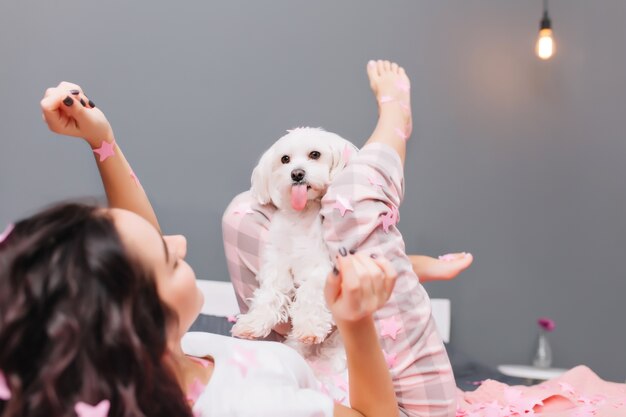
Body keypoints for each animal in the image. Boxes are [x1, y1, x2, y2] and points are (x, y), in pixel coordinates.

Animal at [229, 127, 356, 348]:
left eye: (315, 154)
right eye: (285, 159)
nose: (297, 174)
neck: (302, 216)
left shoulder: (322, 267)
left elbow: (310, 292)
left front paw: (310, 327)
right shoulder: (277, 263)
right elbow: (269, 293)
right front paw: (253, 323)